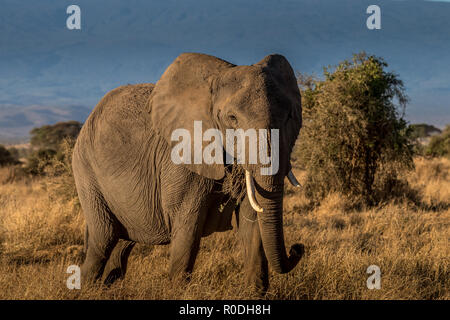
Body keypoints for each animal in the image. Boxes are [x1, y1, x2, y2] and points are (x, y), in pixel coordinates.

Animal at [73, 52, 306, 292]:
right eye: (232, 118)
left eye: (290, 116)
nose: (298, 248)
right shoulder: (181, 162)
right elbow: (188, 228)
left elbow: (252, 224)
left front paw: (254, 294)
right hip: (86, 172)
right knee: (103, 240)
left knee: (120, 246)